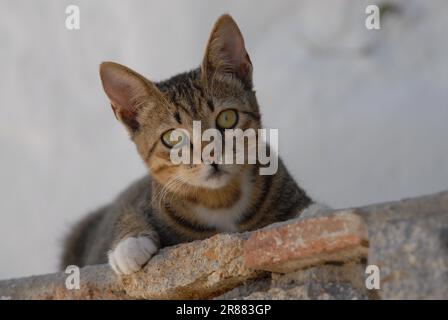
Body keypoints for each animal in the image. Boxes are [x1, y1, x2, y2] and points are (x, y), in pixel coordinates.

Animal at [61, 14, 314, 276]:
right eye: (173, 138)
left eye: (227, 118)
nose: (211, 153)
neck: (221, 199)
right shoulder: (143, 198)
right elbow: (129, 213)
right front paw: (129, 245)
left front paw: (309, 217)